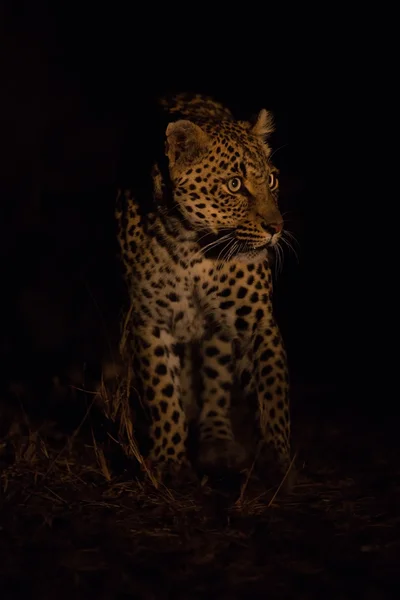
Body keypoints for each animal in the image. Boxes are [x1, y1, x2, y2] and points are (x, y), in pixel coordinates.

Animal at [115, 92, 294, 488]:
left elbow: (272, 391)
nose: (276, 227)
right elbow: (163, 390)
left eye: (272, 180)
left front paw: (275, 457)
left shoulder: (256, 321)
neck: (192, 247)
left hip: (219, 334)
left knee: (215, 378)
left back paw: (217, 441)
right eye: (234, 185)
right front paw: (169, 460)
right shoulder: (150, 320)